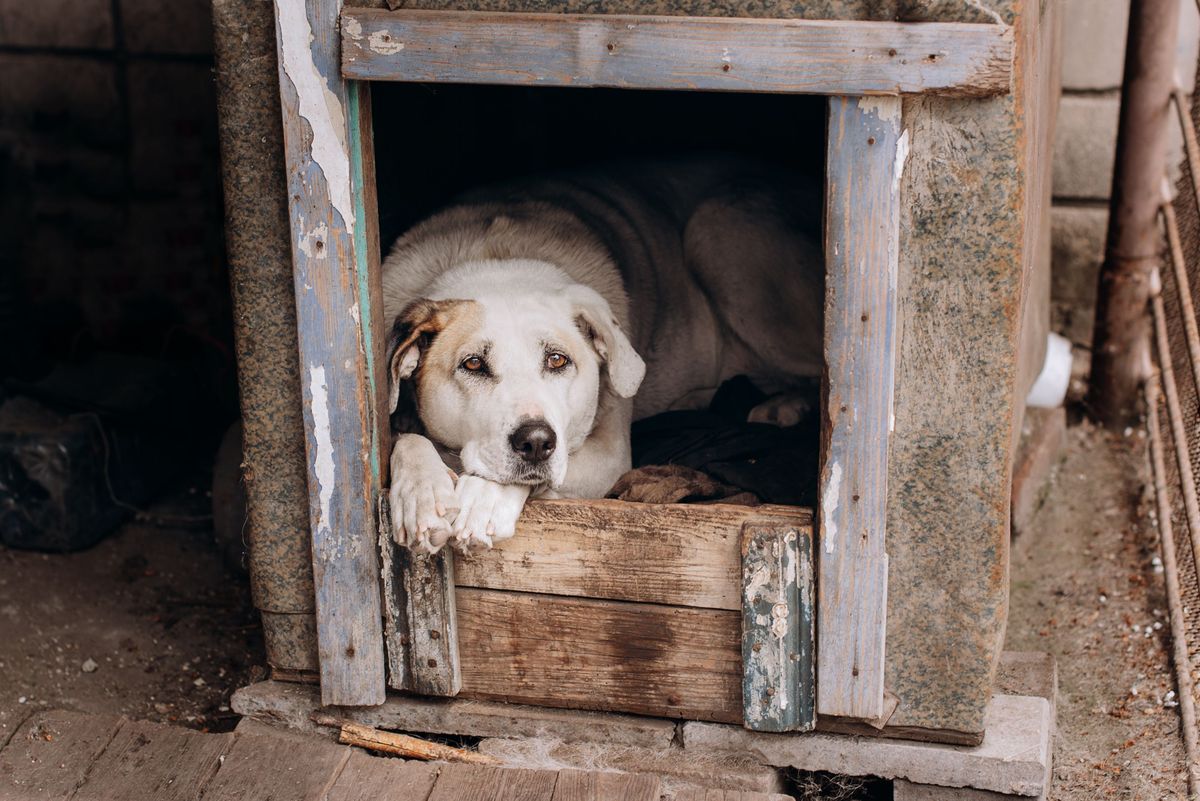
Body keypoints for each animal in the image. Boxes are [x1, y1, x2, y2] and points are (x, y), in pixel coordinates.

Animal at [384, 159, 825, 553]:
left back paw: (783, 406)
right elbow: (403, 437)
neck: (497, 258)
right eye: (473, 364)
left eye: (557, 360)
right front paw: (420, 492)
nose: (536, 442)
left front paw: (485, 498)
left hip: (719, 228)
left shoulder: (610, 456)